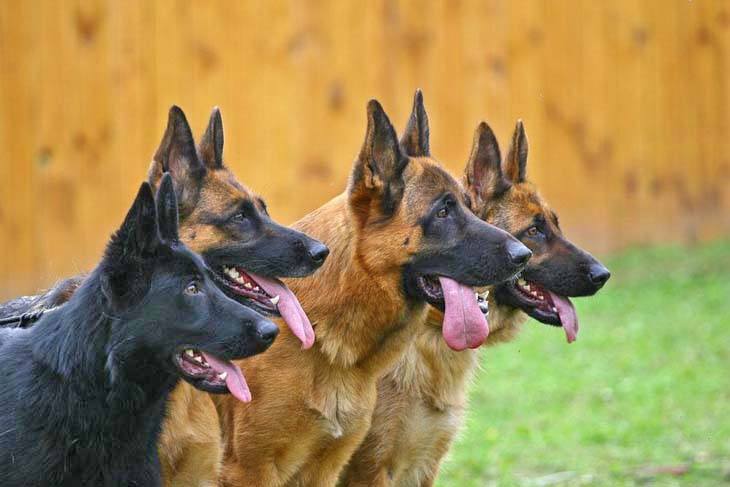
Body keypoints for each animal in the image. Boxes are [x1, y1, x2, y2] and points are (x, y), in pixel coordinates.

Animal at [210, 93, 528, 486]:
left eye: (470, 207)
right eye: (443, 212)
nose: (524, 255)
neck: (320, 335)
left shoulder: (326, 469)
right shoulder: (251, 470)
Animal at [342, 111, 608, 487]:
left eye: (556, 225)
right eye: (534, 231)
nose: (603, 274)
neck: (429, 330)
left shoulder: (423, 467)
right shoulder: (370, 470)